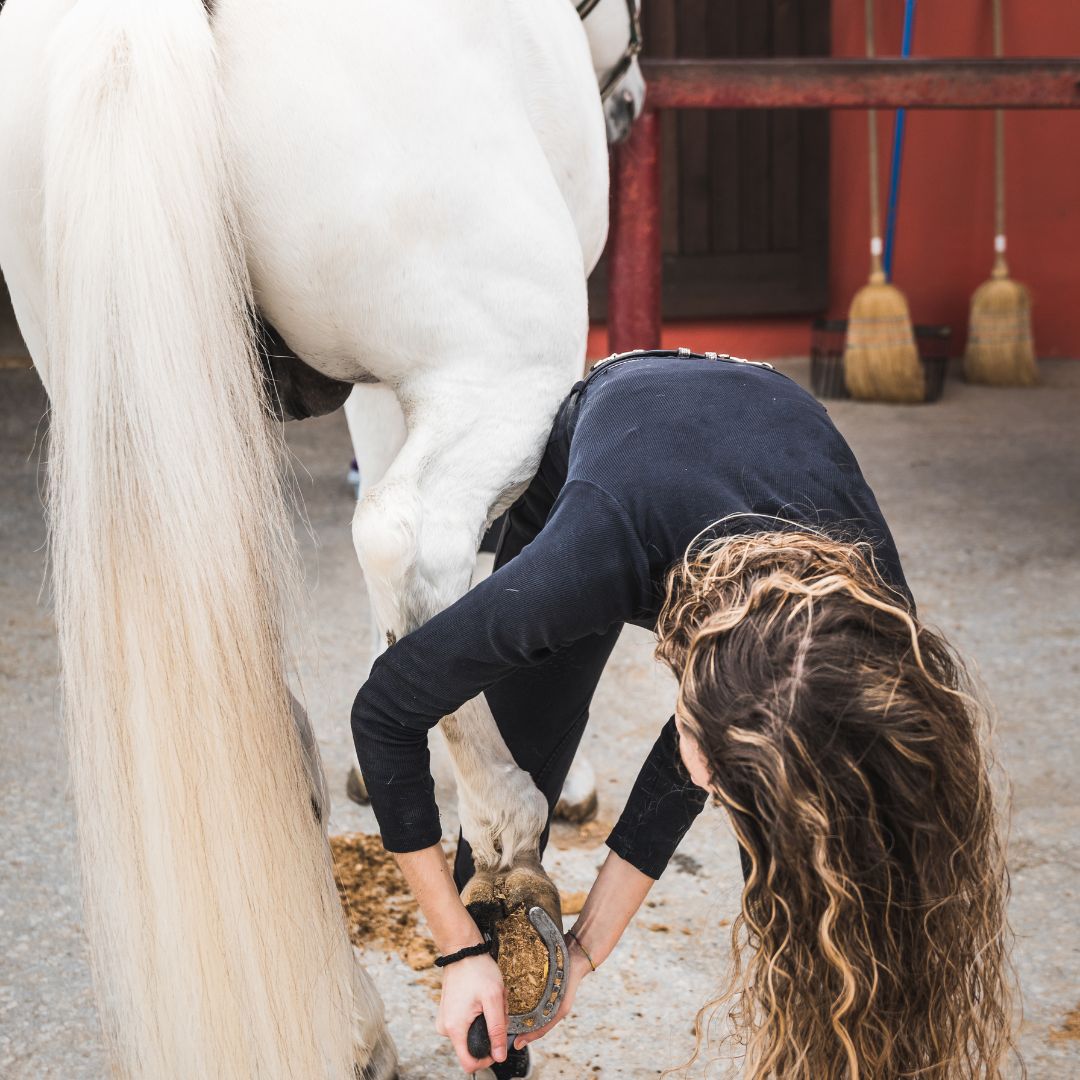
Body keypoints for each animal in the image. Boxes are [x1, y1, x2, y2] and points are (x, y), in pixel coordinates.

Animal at [0, 2, 639, 1080]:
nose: (628, 102)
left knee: (270, 723)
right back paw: (505, 833)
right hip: (501, 368)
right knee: (407, 543)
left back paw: (351, 1027)